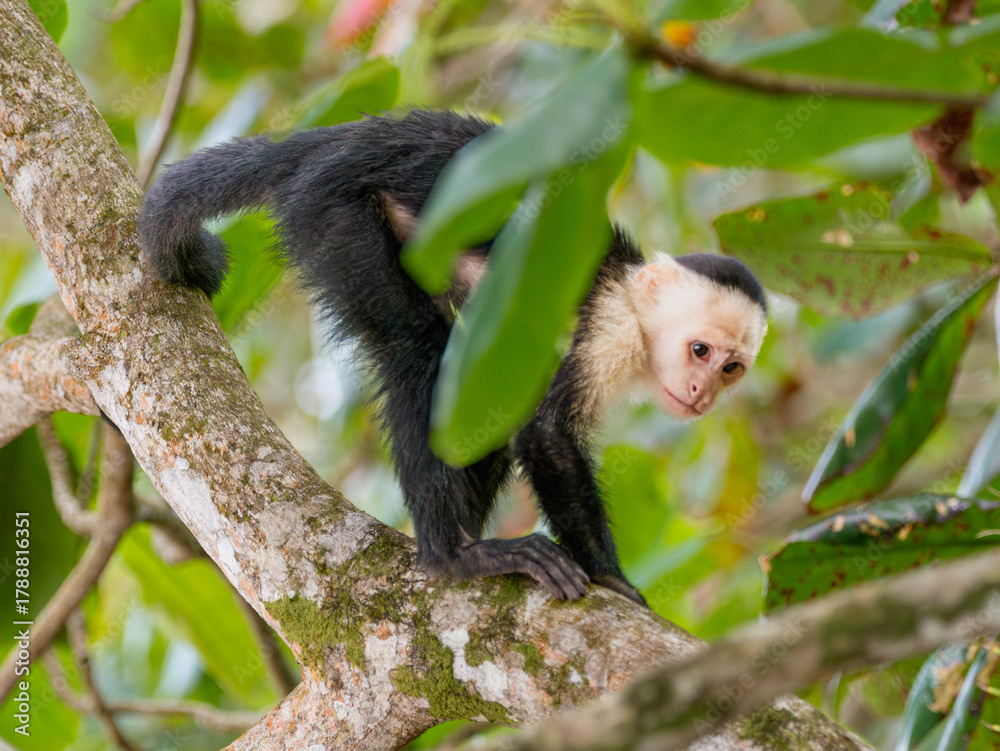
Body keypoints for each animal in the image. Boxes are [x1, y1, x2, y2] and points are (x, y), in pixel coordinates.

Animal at [138, 109, 768, 606]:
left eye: (731, 368)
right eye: (699, 350)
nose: (702, 393)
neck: (631, 305)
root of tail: (338, 140)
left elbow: (506, 410)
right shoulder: (604, 330)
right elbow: (545, 434)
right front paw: (611, 576)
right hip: (333, 214)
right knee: (419, 353)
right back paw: (453, 556)